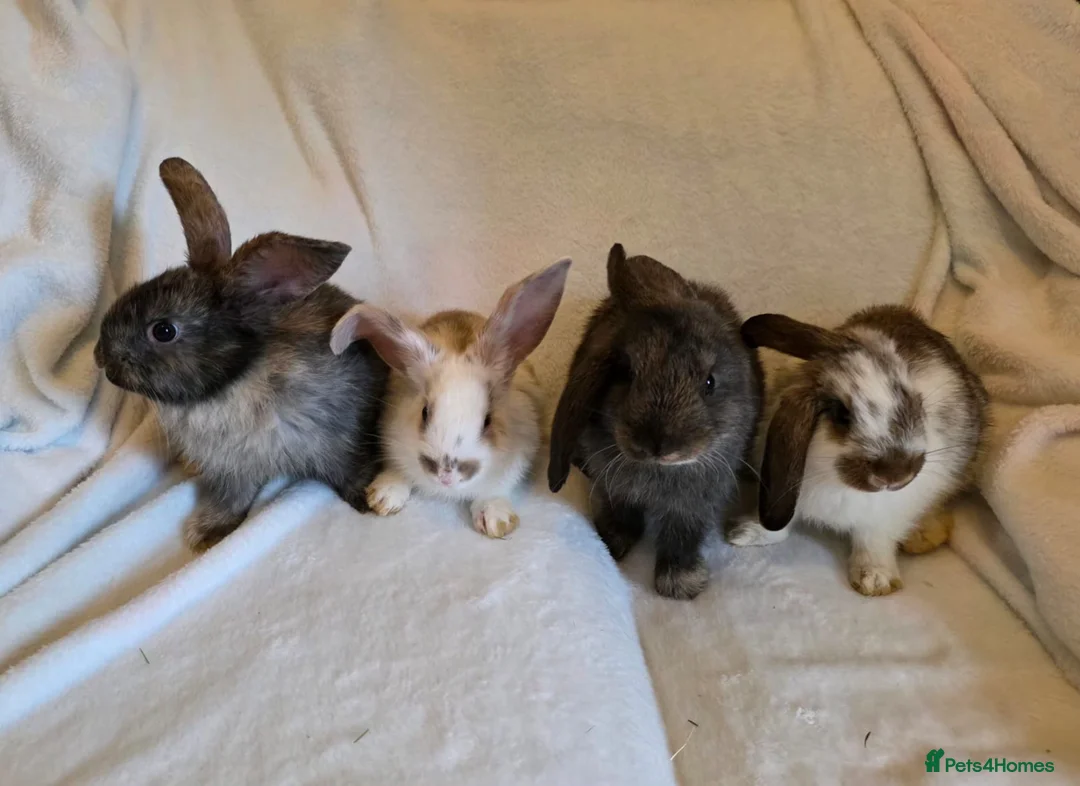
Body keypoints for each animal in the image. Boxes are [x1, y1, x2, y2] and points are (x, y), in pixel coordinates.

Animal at [94, 157, 389, 551]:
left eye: (164, 330)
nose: (100, 356)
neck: (235, 378)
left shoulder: (338, 441)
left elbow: (351, 470)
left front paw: (367, 500)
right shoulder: (232, 471)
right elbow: (232, 499)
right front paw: (208, 533)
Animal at [329, 258, 571, 539]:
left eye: (488, 420)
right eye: (424, 412)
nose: (446, 475)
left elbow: (494, 490)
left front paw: (495, 519)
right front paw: (384, 496)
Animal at [548, 244, 764, 600]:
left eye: (709, 382)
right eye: (626, 373)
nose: (657, 445)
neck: (657, 471)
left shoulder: (694, 504)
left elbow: (682, 535)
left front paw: (680, 584)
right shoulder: (615, 489)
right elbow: (620, 515)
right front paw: (611, 544)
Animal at [729, 305, 988, 596]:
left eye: (917, 402)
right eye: (841, 414)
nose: (896, 475)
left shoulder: (888, 513)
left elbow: (873, 540)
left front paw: (874, 580)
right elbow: (782, 525)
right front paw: (745, 533)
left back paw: (923, 537)